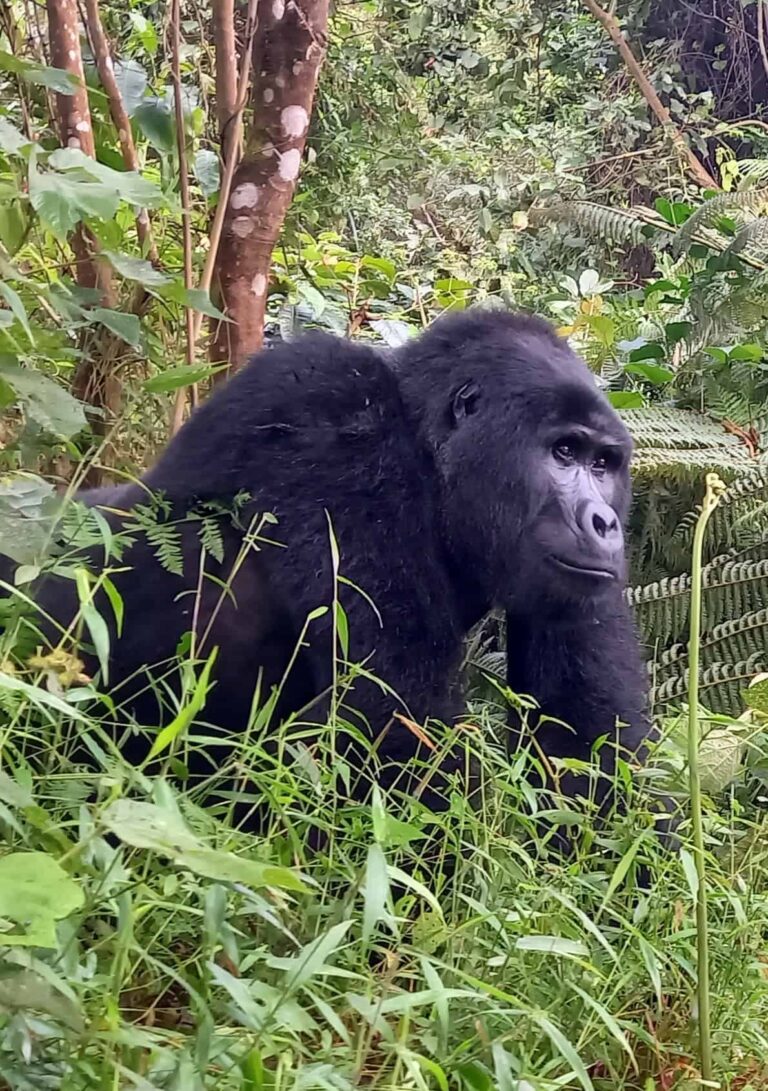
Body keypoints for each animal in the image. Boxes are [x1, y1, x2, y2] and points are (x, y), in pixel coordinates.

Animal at [3, 312, 658, 837]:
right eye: (564, 453)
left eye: (605, 464)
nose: (606, 523)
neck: (425, 445)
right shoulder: (339, 424)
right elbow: (394, 721)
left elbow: (587, 748)